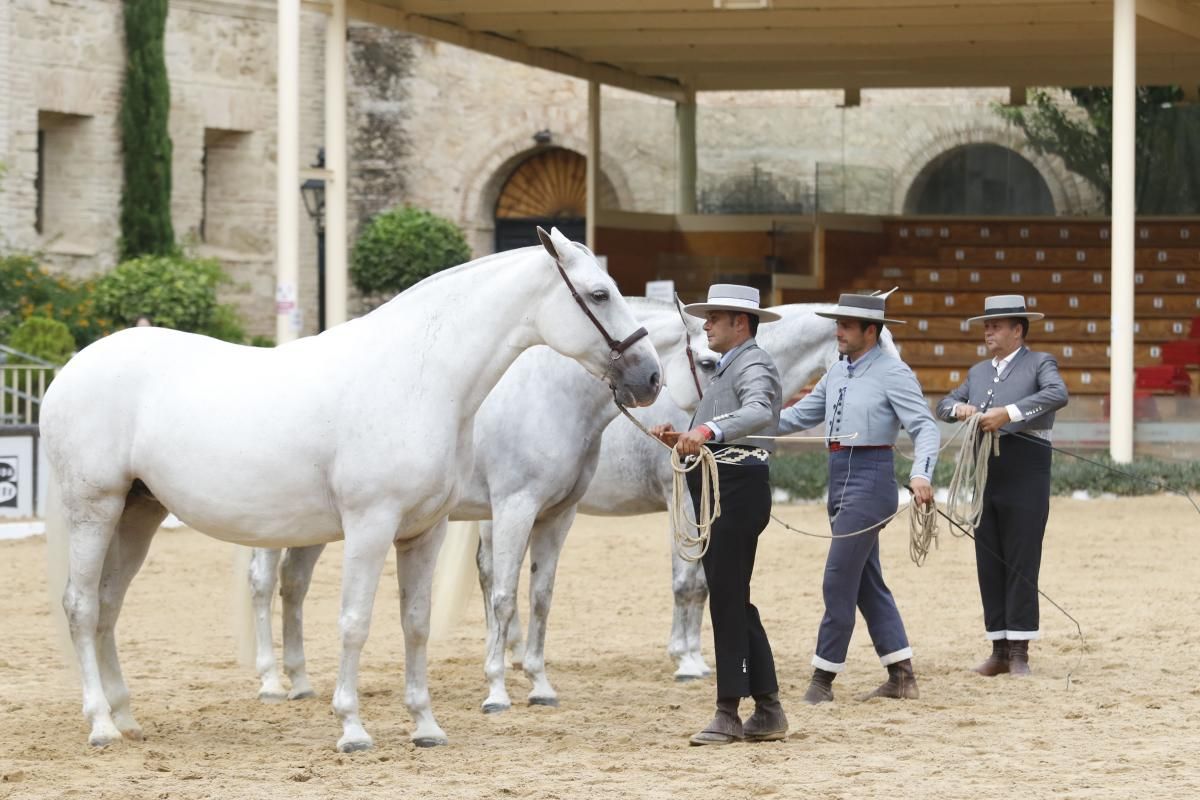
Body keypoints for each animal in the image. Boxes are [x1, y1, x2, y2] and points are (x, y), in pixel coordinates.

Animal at [42, 226, 662, 753]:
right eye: (600, 293)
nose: (649, 376)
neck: (419, 376)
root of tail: (68, 371)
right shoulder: (371, 524)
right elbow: (355, 620)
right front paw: (353, 728)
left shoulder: (424, 532)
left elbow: (416, 622)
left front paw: (426, 725)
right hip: (95, 509)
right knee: (80, 605)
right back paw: (100, 724)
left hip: (138, 513)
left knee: (107, 605)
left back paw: (126, 717)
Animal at [240, 299, 715, 714]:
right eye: (708, 363)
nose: (651, 382)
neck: (551, 400)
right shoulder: (517, 507)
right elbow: (505, 595)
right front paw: (497, 691)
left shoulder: (558, 514)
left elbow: (540, 595)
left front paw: (537, 683)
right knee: (264, 584)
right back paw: (271, 682)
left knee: (294, 584)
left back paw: (300, 681)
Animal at [573, 303, 902, 681]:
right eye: (880, 347)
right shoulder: (684, 505)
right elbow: (686, 583)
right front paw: (685, 660)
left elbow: (703, 584)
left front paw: (695, 657)